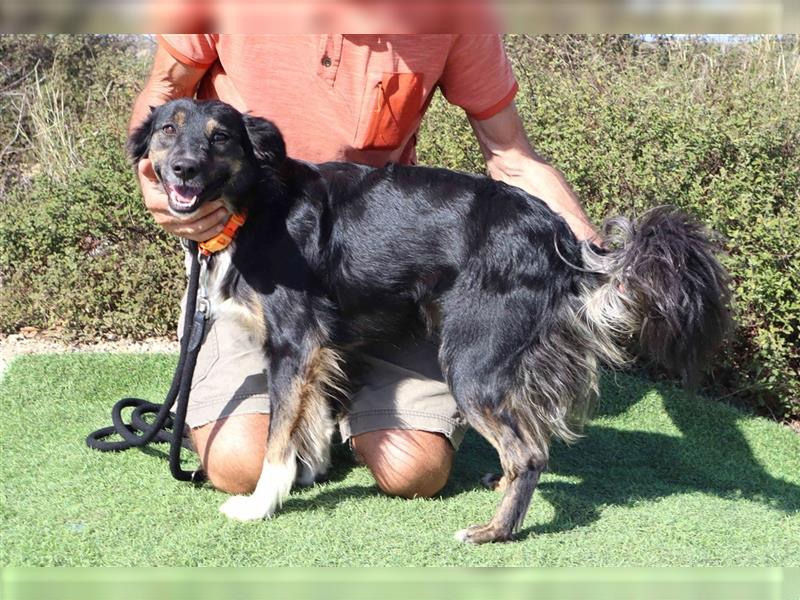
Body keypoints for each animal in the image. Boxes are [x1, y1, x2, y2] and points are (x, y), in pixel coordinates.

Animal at [126, 97, 732, 544]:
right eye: (167, 130)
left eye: (220, 138)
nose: (181, 169)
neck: (255, 204)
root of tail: (560, 239)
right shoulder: (319, 350)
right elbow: (311, 420)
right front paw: (310, 472)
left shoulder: (294, 344)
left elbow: (277, 436)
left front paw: (261, 502)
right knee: (525, 441)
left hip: (471, 363)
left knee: (531, 452)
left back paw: (494, 531)